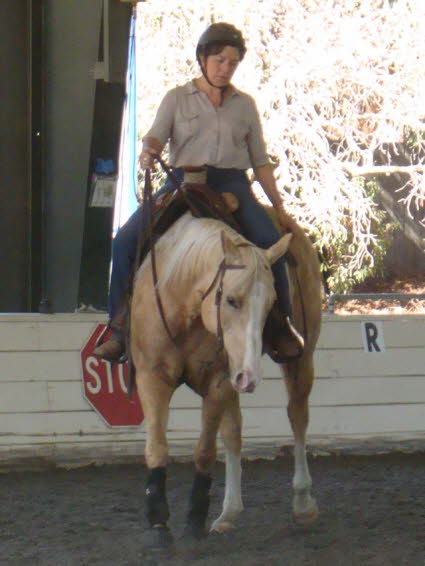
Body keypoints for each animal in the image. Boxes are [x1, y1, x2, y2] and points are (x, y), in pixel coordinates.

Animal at [131, 207, 320, 544]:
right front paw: (157, 519)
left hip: (299, 360)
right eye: (231, 299)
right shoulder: (151, 376)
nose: (251, 377)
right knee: (234, 432)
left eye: (272, 304)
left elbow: (205, 451)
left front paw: (195, 520)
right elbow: (158, 446)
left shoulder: (219, 381)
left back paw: (303, 503)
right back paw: (229, 513)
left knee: (297, 416)